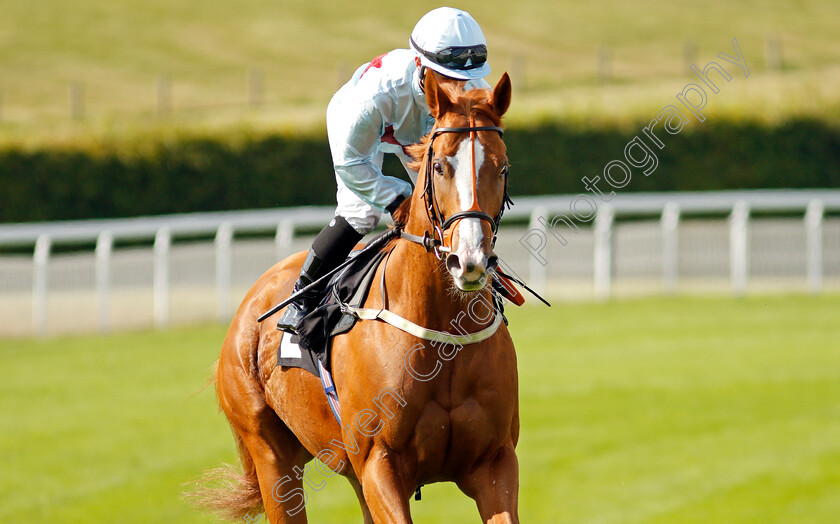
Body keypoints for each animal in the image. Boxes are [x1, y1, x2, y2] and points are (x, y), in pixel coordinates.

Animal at [202, 71, 520, 520]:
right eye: (440, 165)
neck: (442, 335)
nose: (469, 259)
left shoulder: (495, 462)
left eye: (502, 166)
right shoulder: (379, 465)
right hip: (272, 458)